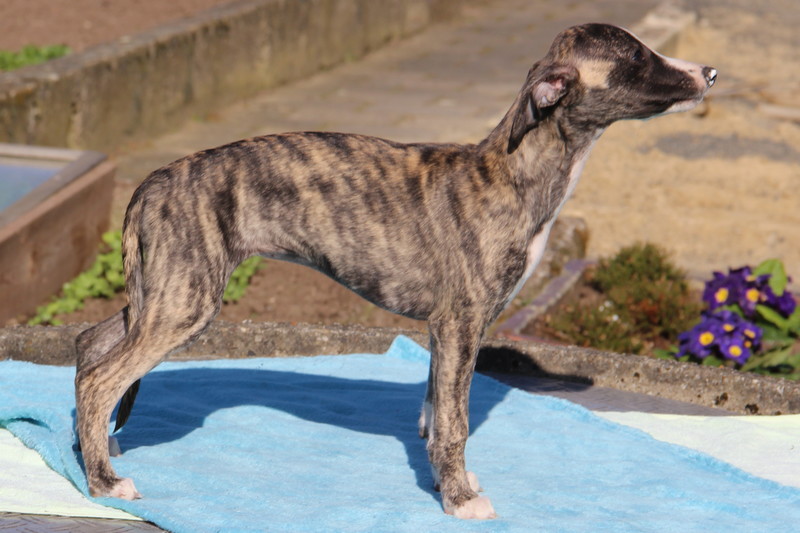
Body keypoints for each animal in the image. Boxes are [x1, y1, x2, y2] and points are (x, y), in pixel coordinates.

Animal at [74, 23, 716, 519]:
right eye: (636, 57)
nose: (709, 72)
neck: (510, 171)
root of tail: (151, 183)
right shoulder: (461, 323)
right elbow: (454, 422)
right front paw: (461, 501)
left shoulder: (445, 329)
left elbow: (434, 409)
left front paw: (447, 482)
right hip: (186, 301)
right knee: (101, 379)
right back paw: (104, 483)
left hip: (160, 291)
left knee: (90, 344)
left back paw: (91, 453)